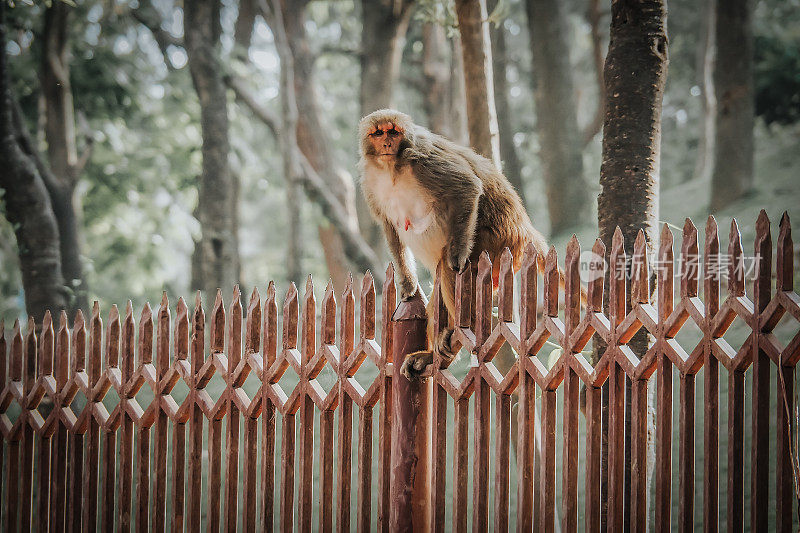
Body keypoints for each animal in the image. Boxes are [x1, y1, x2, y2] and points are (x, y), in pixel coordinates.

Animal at [360, 108, 552, 376]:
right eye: (378, 133)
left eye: (393, 132)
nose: (387, 143)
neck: (392, 169)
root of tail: (524, 229)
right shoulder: (370, 184)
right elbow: (391, 228)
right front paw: (407, 283)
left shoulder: (422, 160)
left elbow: (466, 187)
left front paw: (458, 254)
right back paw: (431, 355)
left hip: (495, 243)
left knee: (449, 265)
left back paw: (459, 328)